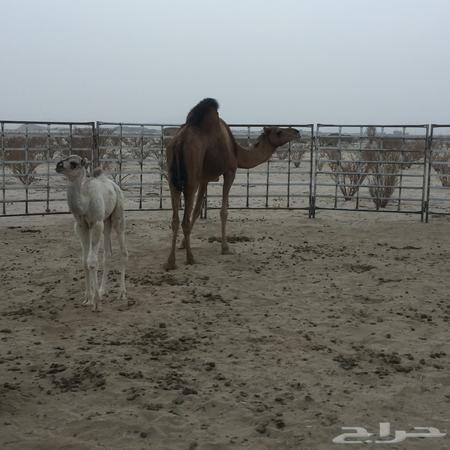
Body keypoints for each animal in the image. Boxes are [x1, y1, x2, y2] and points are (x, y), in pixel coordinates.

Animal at [56, 155, 128, 311]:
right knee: (108, 253)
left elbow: (92, 261)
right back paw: (102, 290)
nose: (58, 165)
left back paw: (122, 293)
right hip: (107, 221)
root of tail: (113, 185)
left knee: (123, 252)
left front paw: (96, 302)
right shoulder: (81, 225)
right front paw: (88, 298)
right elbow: (84, 261)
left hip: (117, 216)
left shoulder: (96, 224)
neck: (85, 203)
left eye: (73, 163)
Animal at [164, 98, 300, 270]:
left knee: (175, 219)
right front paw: (225, 248)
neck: (237, 152)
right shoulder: (229, 171)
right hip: (190, 179)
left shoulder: (204, 178)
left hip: (172, 179)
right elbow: (224, 211)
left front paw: (182, 244)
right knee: (184, 219)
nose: (297, 132)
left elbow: (197, 210)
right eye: (279, 132)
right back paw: (190, 258)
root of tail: (178, 142)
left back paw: (170, 262)